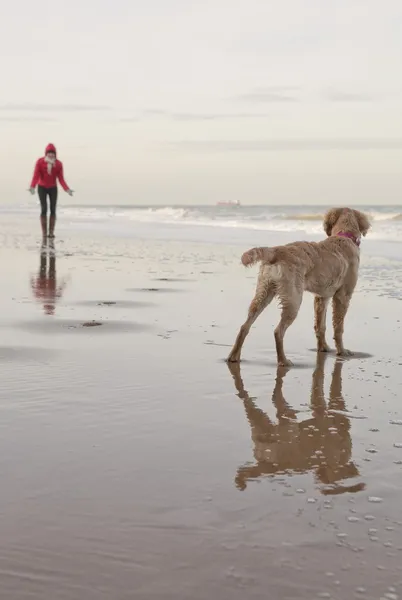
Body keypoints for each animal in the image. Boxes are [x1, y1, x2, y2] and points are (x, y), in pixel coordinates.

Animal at [226, 206, 370, 366]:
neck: (344, 235)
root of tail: (277, 250)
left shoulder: (322, 297)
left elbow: (320, 326)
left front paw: (323, 347)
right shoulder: (343, 296)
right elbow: (338, 327)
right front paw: (342, 351)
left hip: (263, 292)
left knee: (245, 326)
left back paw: (234, 356)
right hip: (293, 299)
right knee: (278, 331)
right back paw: (283, 360)